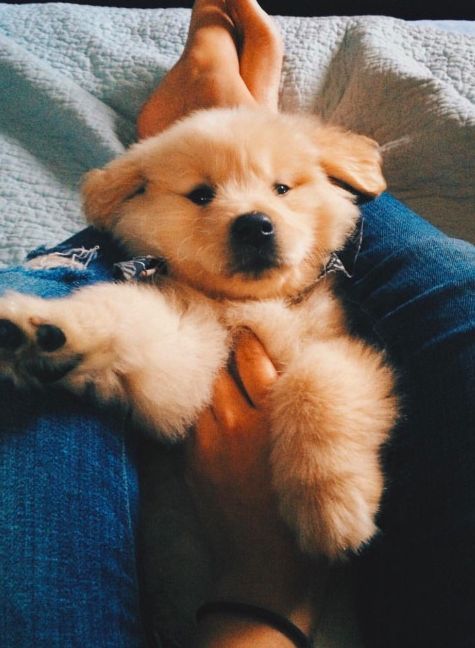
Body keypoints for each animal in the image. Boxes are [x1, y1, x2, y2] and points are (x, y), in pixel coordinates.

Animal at [0, 109, 398, 560]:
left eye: (281, 189)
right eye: (202, 195)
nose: (255, 225)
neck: (246, 304)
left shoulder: (341, 344)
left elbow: (315, 381)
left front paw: (330, 503)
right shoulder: (189, 373)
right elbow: (131, 316)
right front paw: (49, 331)